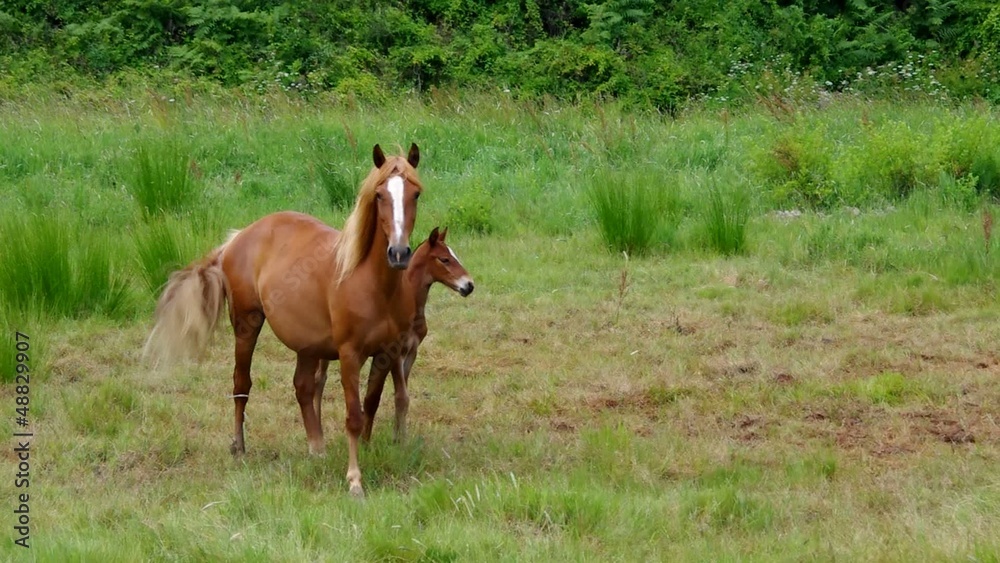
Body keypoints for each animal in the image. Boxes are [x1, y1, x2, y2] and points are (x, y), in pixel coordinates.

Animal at [147, 143, 426, 496]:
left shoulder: (390, 352)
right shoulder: (349, 355)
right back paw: (239, 447)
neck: (370, 281)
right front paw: (354, 480)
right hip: (247, 324)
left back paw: (317, 448)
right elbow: (353, 415)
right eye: (379, 195)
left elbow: (378, 402)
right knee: (241, 384)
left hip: (307, 345)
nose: (399, 253)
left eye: (415, 193)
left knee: (303, 388)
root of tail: (238, 237)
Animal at [314, 227, 478, 442]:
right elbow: (401, 396)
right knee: (319, 380)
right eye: (444, 259)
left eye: (454, 255)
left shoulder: (412, 352)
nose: (469, 285)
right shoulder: (396, 353)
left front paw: (399, 436)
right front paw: (398, 439)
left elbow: (399, 396)